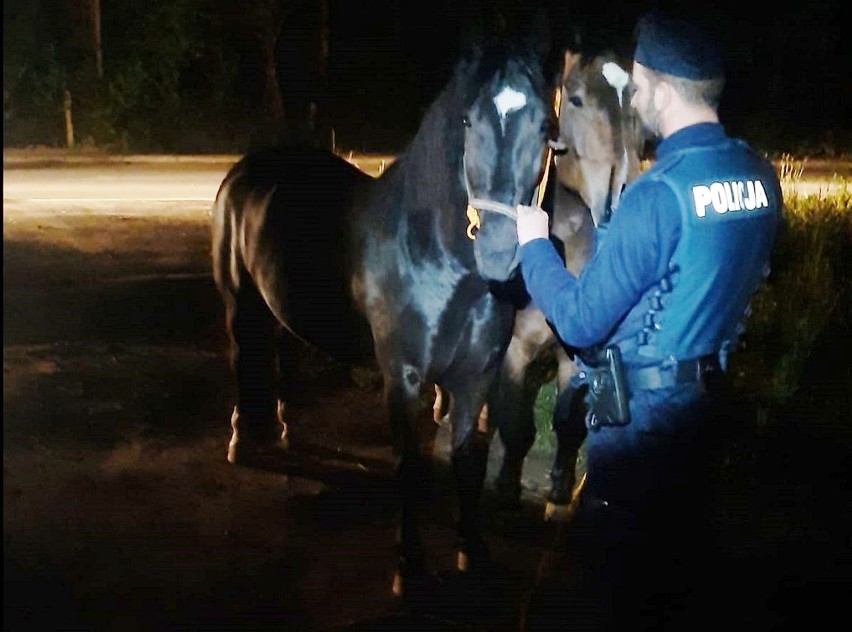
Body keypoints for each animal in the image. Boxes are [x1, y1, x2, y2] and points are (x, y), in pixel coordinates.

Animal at [210, 40, 548, 596]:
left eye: (544, 125)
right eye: (468, 120)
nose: (502, 252)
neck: (438, 259)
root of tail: (245, 172)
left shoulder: (476, 378)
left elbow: (468, 462)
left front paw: (472, 551)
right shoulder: (403, 378)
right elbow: (408, 466)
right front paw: (408, 566)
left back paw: (284, 426)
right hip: (240, 305)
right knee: (245, 360)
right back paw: (243, 439)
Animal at [486, 47, 644, 516]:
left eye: (633, 101)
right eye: (574, 100)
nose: (622, 190)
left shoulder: (572, 358)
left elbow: (566, 422)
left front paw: (559, 486)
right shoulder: (515, 351)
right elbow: (516, 424)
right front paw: (506, 484)